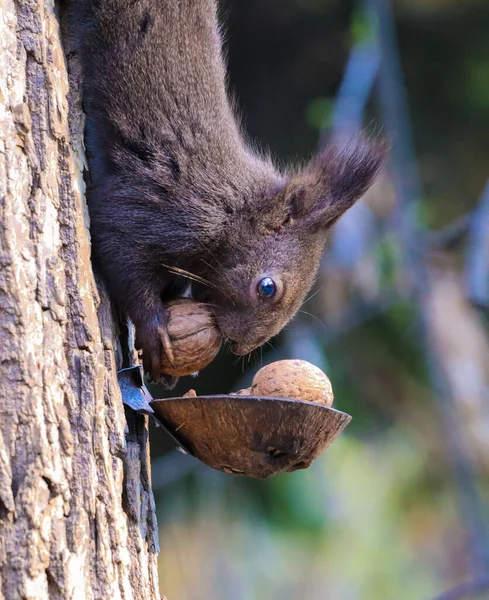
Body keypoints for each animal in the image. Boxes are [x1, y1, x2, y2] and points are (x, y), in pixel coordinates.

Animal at [77, 0, 386, 384]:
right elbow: (118, 249)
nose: (240, 348)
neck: (234, 211)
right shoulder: (166, 210)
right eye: (267, 288)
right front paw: (153, 330)